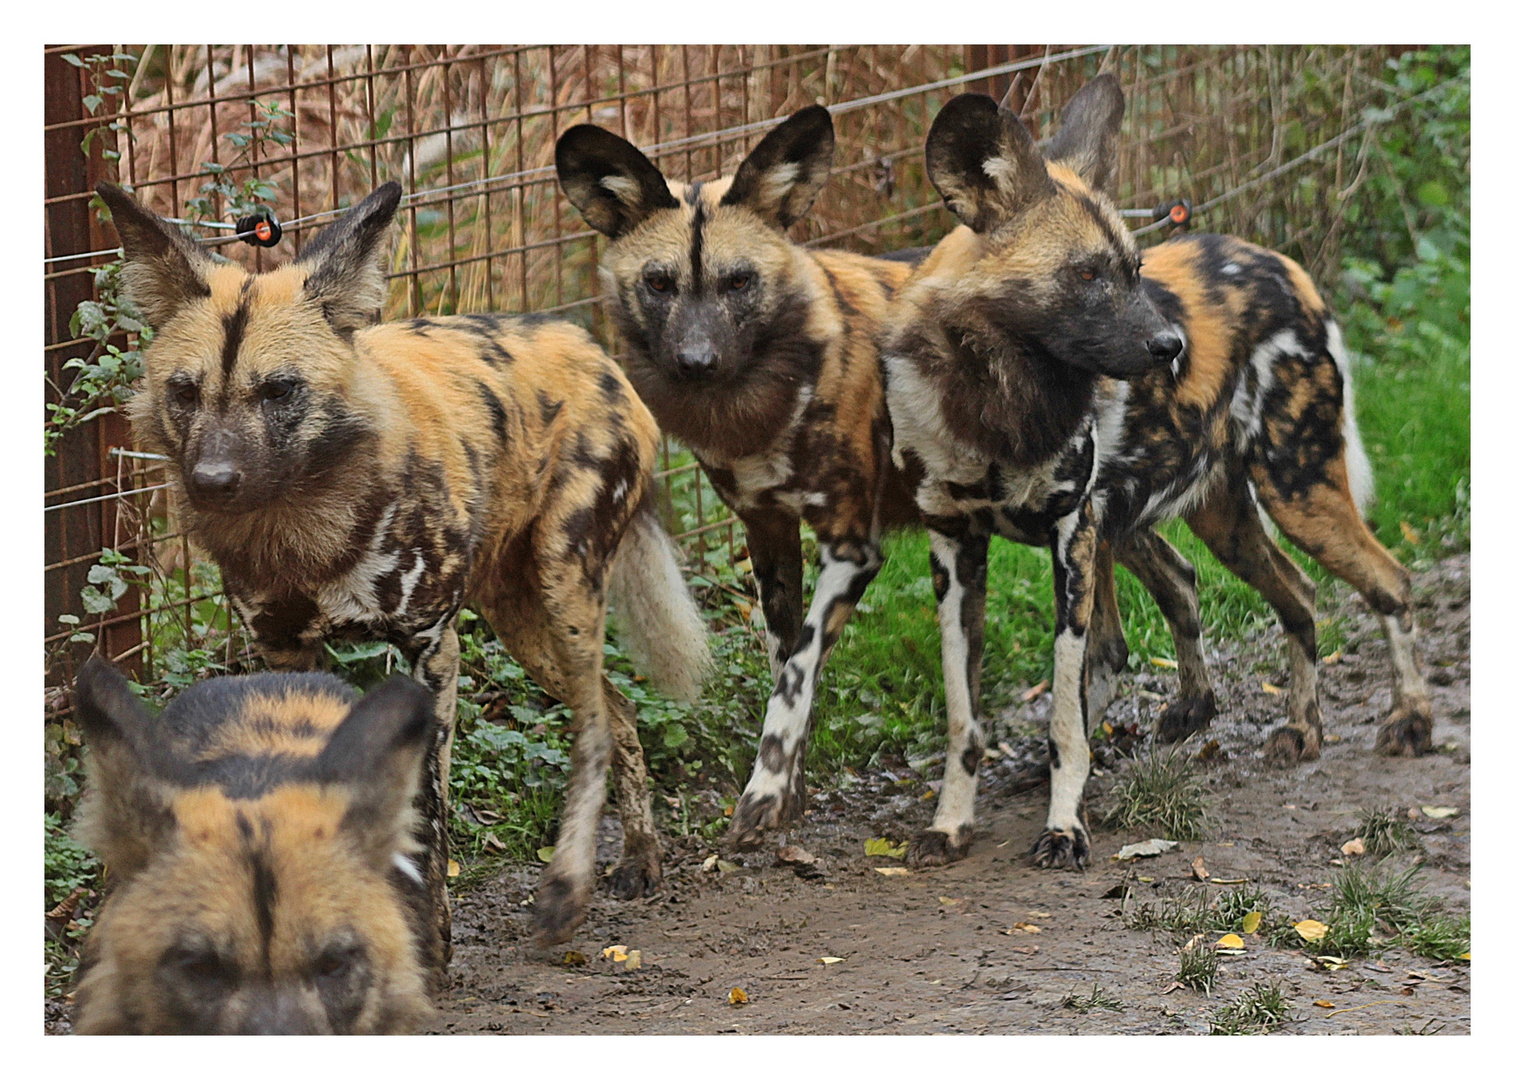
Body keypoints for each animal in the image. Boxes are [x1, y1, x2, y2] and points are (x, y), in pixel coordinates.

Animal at [97, 181, 712, 945]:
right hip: (518, 618)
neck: (304, 529)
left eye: (279, 391)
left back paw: (570, 888)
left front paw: (430, 939)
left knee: (596, 725)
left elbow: (425, 815)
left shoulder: (431, 653)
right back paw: (640, 856)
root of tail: (594, 350)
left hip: (565, 587)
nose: (212, 481)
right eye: (184, 392)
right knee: (619, 708)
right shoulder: (282, 653)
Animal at [560, 109, 921, 848]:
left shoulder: (852, 548)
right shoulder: (770, 537)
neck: (759, 411)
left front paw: (764, 790)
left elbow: (797, 676)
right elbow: (788, 667)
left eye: (738, 282)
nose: (697, 361)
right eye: (659, 282)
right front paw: (790, 796)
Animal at [884, 75, 1424, 866]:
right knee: (1286, 593)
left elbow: (1065, 713)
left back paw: (1410, 720)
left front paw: (1064, 827)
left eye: (1135, 270)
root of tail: (1280, 262)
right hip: (1206, 517)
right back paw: (1296, 728)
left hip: (1294, 490)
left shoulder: (1072, 542)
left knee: (1389, 583)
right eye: (1084, 274)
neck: (992, 399)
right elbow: (965, 716)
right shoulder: (956, 549)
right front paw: (949, 824)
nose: (1171, 348)